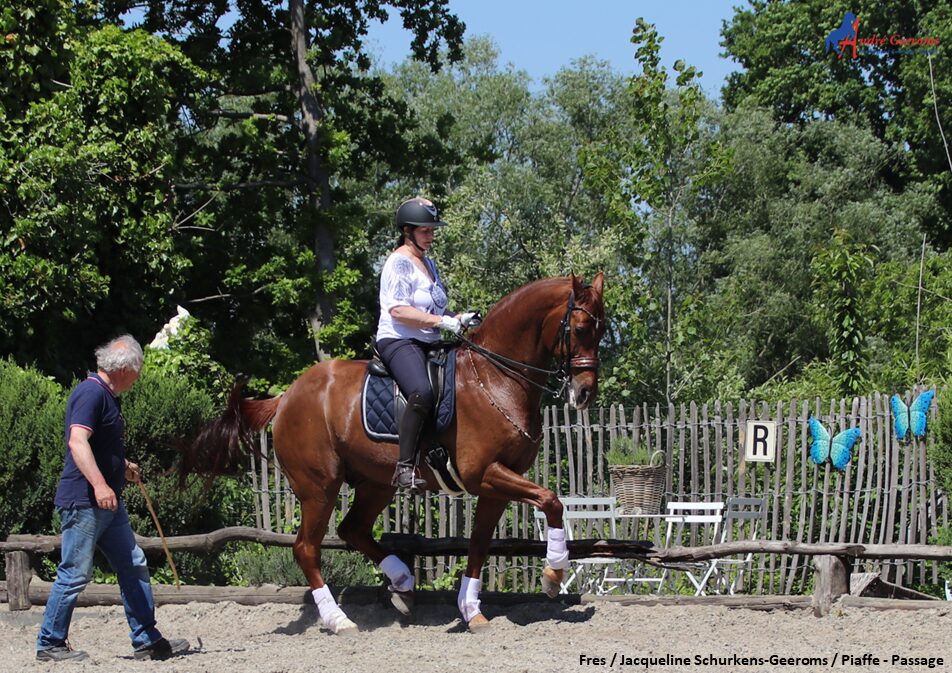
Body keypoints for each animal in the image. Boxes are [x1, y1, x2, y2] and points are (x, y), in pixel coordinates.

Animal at [180, 272, 604, 632]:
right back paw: (339, 620)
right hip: (320, 487)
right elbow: (551, 500)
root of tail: (286, 396)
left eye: (601, 331)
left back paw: (402, 582)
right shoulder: (484, 473)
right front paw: (553, 574)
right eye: (581, 329)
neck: (495, 378)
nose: (584, 393)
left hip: (375, 483)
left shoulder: (495, 484)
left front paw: (472, 610)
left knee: (352, 530)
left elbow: (480, 544)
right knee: (306, 548)